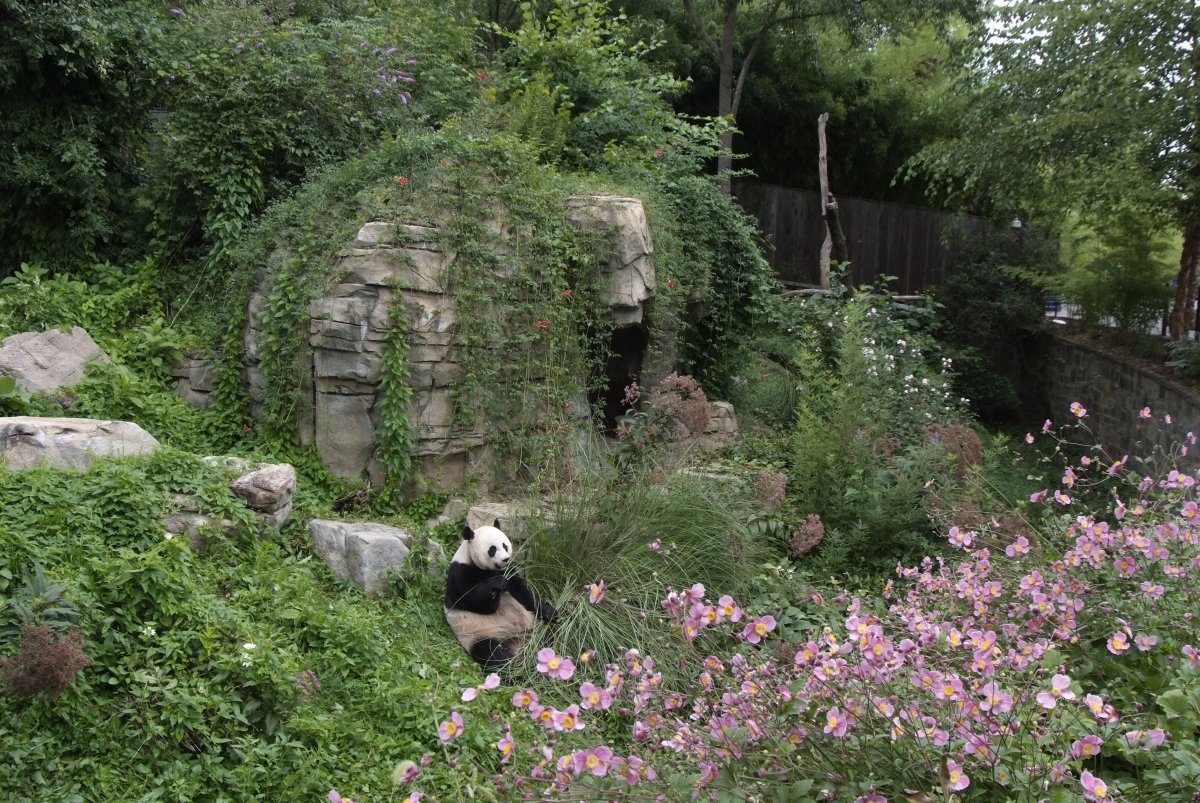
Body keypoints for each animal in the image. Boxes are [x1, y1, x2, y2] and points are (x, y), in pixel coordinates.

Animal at [444, 520, 554, 672]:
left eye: (505, 545)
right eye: (492, 549)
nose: (505, 559)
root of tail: (519, 645)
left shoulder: (509, 570)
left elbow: (523, 592)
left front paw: (550, 612)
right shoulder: (460, 574)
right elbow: (476, 602)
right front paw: (497, 584)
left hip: (534, 625)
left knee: (550, 635)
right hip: (480, 635)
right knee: (491, 654)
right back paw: (514, 669)